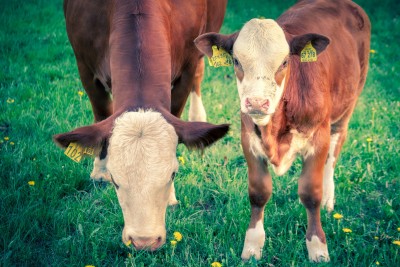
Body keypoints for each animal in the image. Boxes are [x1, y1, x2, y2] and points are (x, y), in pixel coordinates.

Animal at [53, 0, 228, 251]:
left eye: (173, 174)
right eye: (115, 180)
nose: (144, 241)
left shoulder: (187, 67)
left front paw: (171, 195)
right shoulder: (84, 66)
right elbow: (101, 113)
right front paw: (99, 170)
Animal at [195, 0, 370, 264]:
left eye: (285, 62)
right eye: (236, 61)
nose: (257, 102)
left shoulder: (318, 138)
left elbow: (310, 193)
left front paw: (317, 247)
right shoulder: (249, 139)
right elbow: (259, 193)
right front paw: (253, 246)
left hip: (347, 107)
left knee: (334, 151)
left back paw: (329, 198)